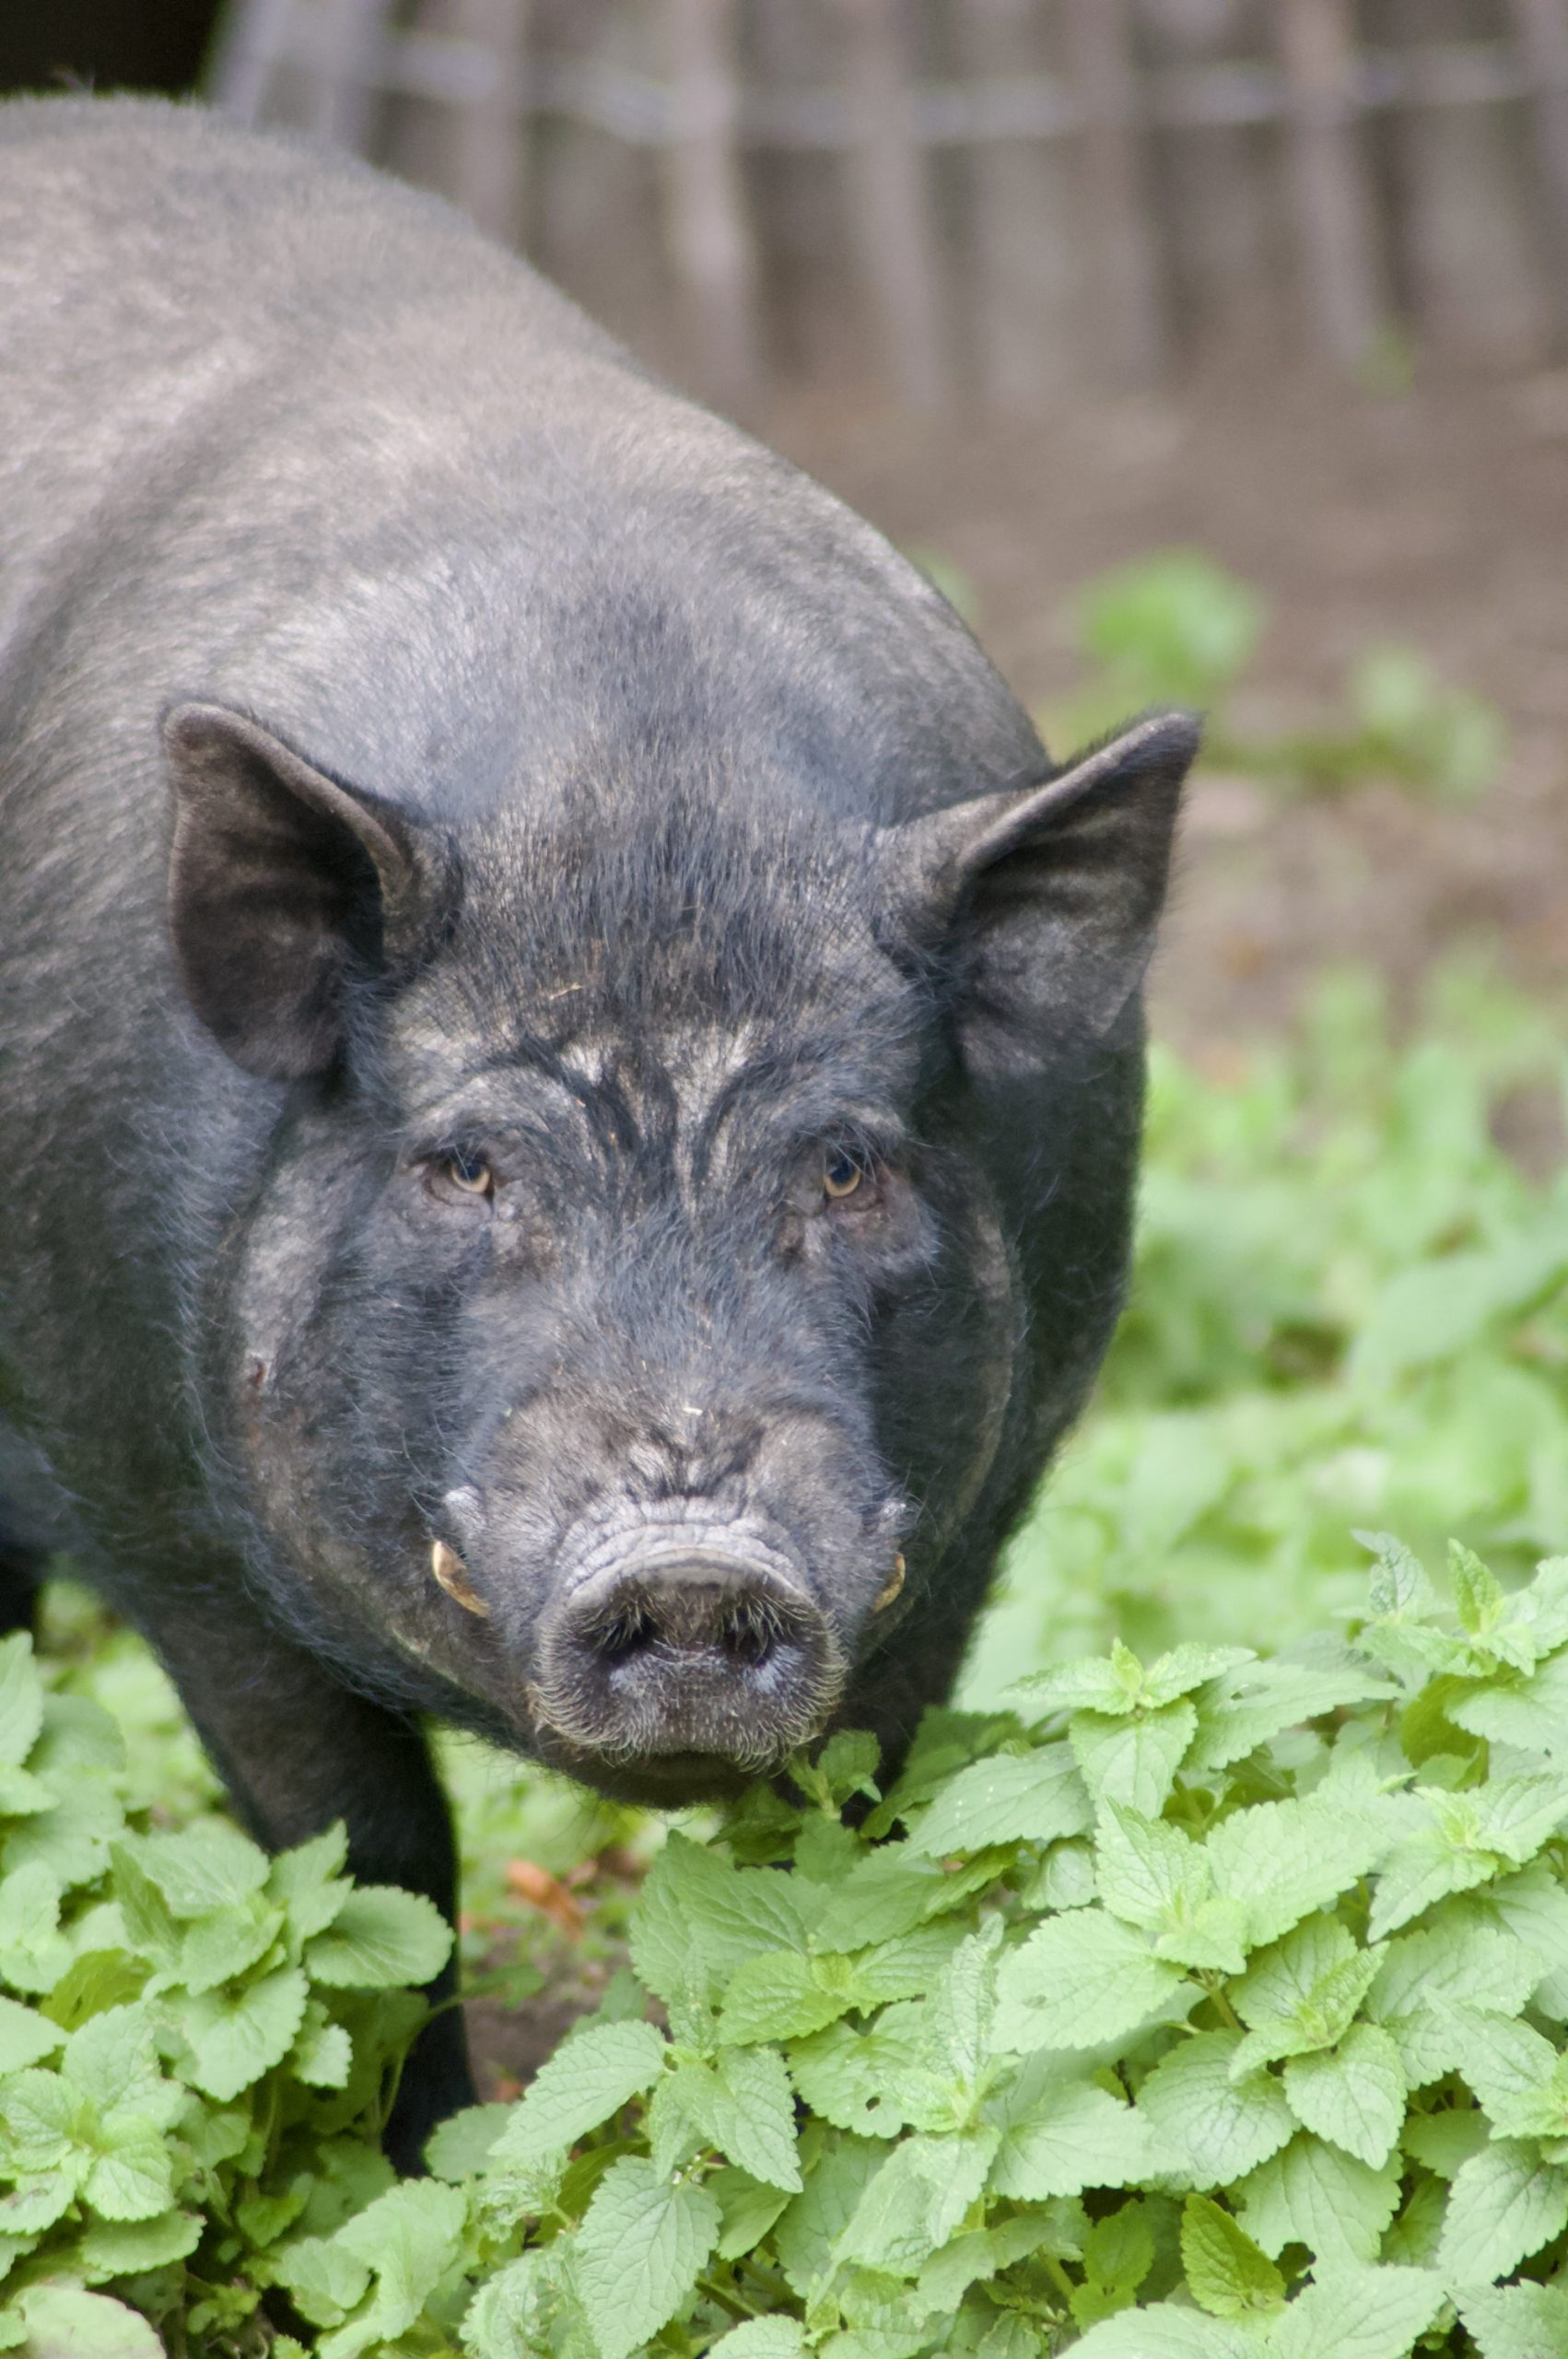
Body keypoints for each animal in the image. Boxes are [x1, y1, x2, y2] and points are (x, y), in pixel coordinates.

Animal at [0, 96, 1195, 2160]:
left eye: (848, 1161)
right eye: (464, 1166)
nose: (691, 1555)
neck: (636, 797)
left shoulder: (976, 1521)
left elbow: (840, 1854)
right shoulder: (152, 1513)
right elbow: (367, 1872)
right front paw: (426, 2175)